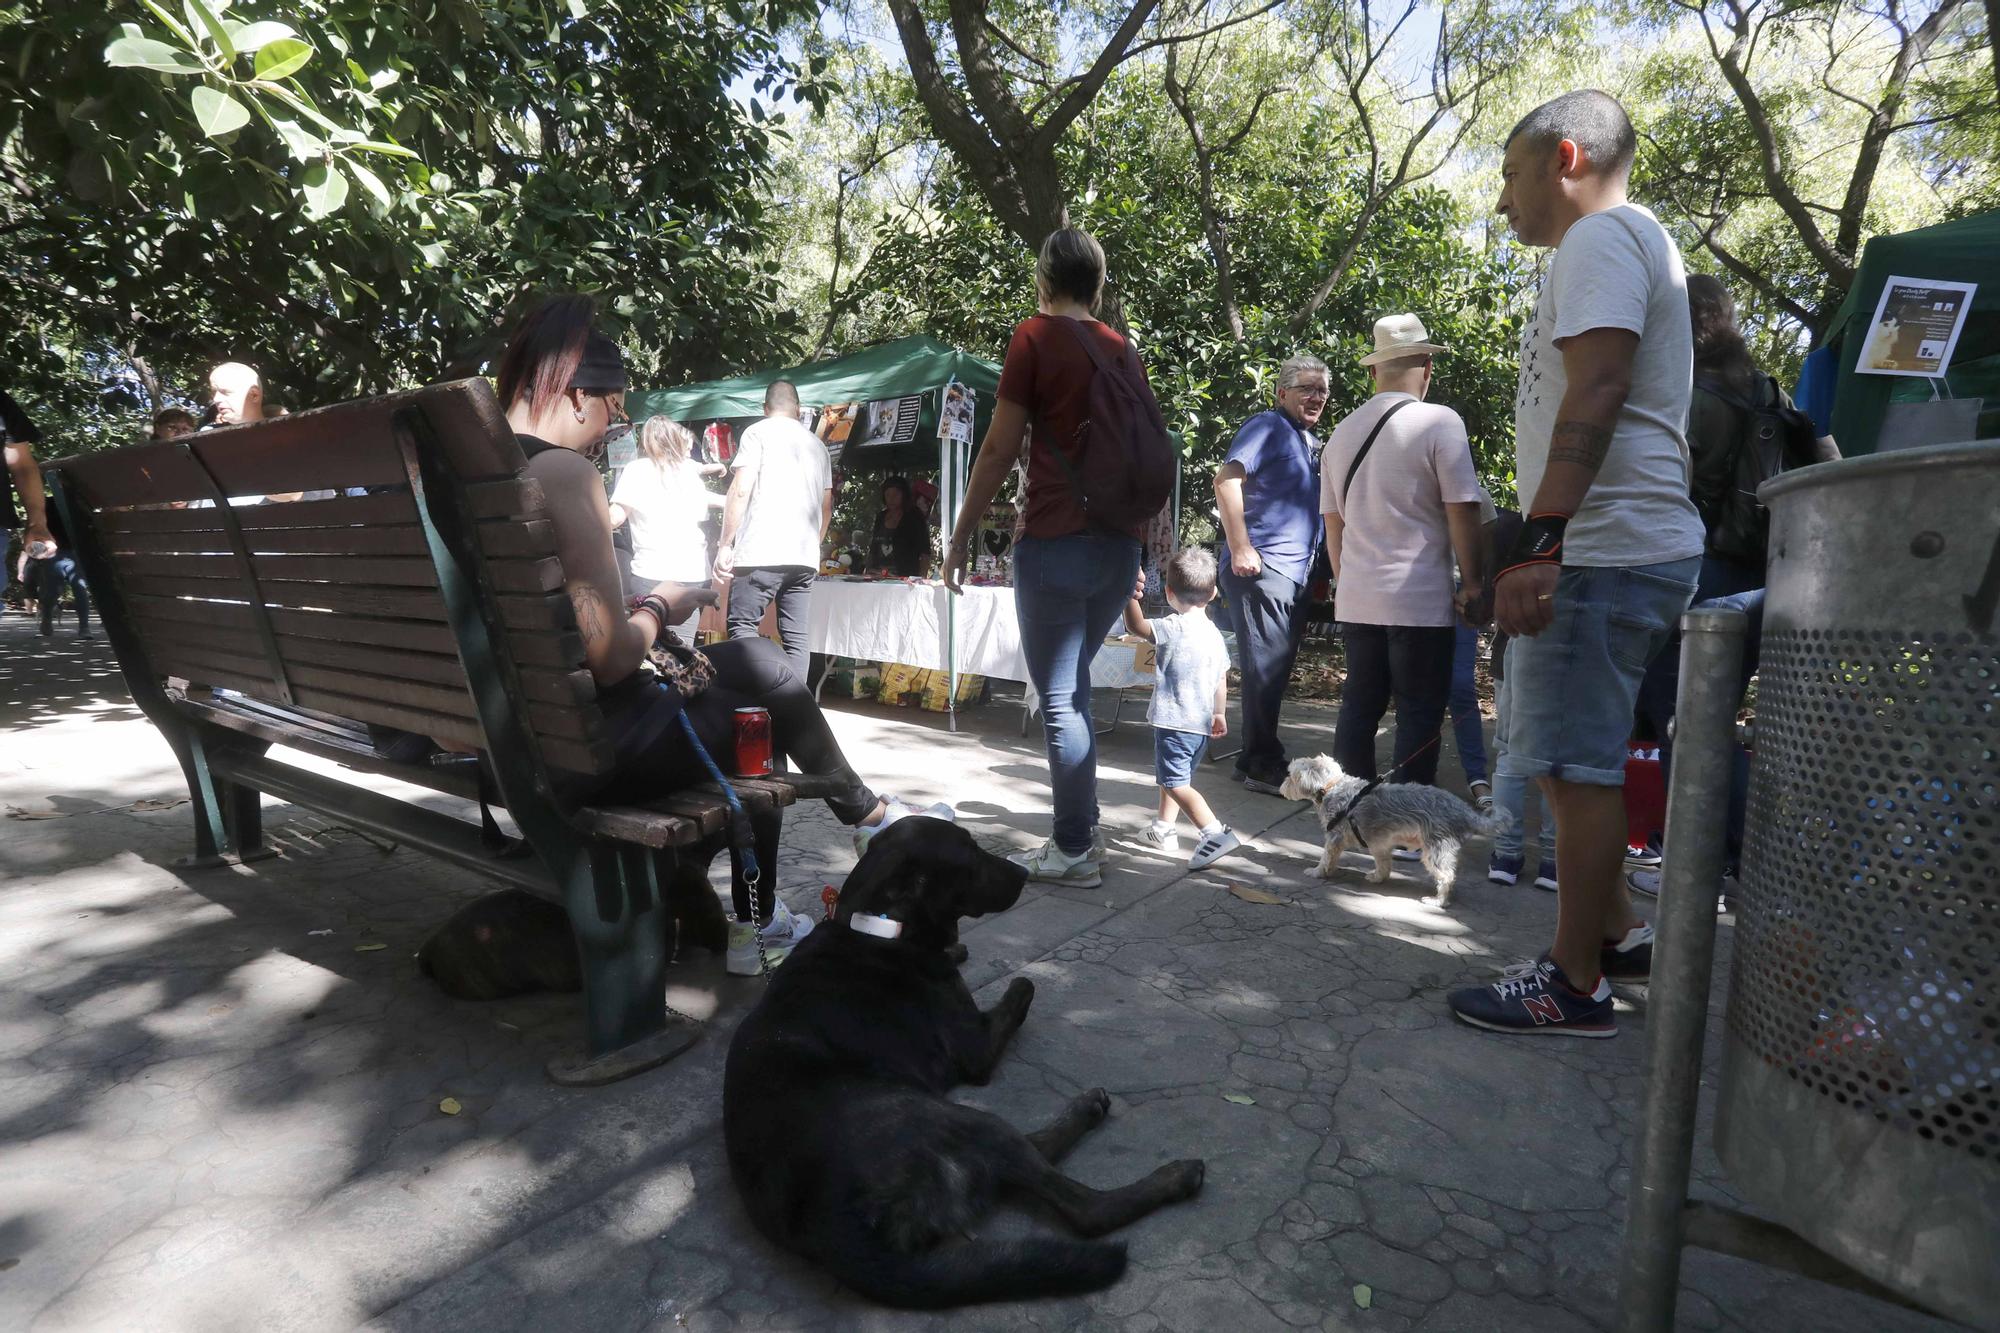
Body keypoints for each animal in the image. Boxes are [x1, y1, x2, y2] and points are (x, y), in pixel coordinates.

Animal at [1280, 752, 1504, 908]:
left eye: (1291, 776)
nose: (1282, 786)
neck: (1332, 787)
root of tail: (1463, 810)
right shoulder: (1379, 844)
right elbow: (1383, 864)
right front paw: (1378, 877)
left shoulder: (1334, 838)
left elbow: (1326, 858)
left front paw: (1317, 872)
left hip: (1435, 852)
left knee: (1447, 877)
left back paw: (1438, 901)